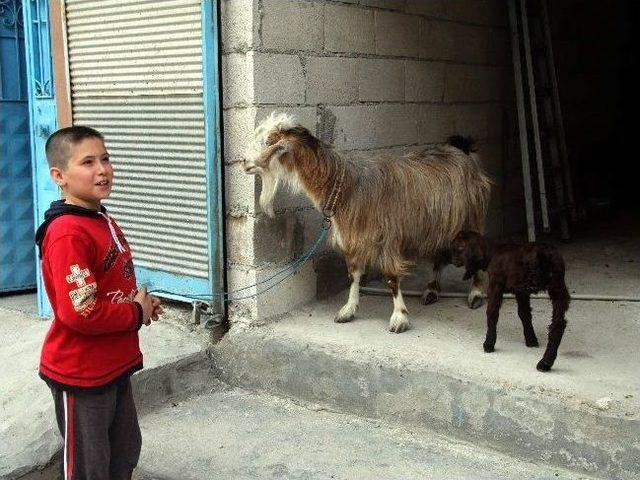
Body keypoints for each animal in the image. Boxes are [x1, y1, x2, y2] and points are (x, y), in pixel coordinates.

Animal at [242, 112, 492, 332]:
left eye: (269, 142)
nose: (244, 162)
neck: (347, 185)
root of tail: (461, 151)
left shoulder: (389, 237)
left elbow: (391, 277)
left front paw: (399, 318)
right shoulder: (353, 237)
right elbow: (353, 274)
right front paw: (348, 310)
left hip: (471, 217)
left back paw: (476, 294)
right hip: (441, 224)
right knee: (439, 255)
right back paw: (431, 290)